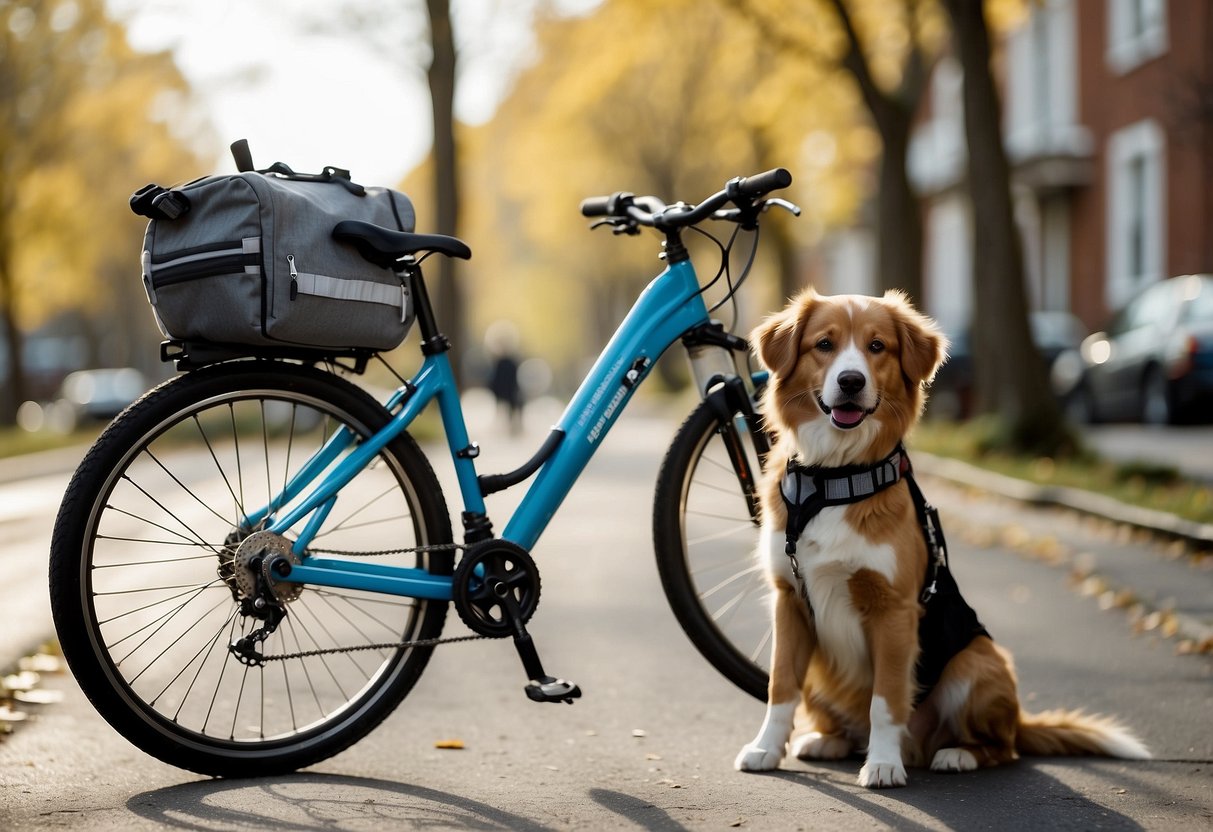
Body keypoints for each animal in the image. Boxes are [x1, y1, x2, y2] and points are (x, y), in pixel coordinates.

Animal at [732, 292, 1149, 790]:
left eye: (877, 346)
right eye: (824, 344)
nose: (851, 382)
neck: (836, 477)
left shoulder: (894, 612)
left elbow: (886, 699)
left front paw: (883, 764)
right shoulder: (790, 601)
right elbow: (780, 686)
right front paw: (765, 748)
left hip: (978, 662)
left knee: (1002, 748)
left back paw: (955, 754)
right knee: (845, 723)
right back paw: (829, 741)